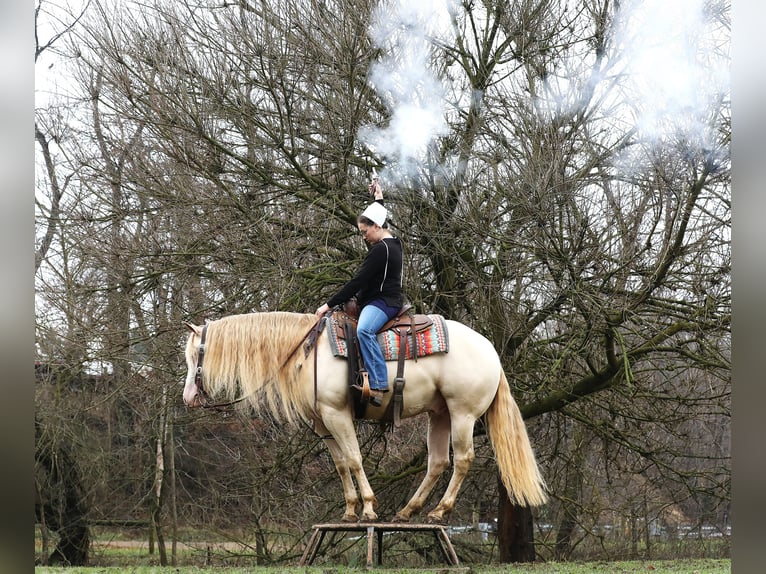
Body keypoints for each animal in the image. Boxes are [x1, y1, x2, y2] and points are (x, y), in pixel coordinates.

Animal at [183, 312, 548, 524]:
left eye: (196, 355)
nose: (187, 398)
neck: (307, 352)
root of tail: (491, 351)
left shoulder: (338, 414)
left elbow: (355, 459)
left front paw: (369, 508)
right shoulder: (323, 422)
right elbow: (341, 463)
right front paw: (349, 510)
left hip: (463, 414)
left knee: (463, 460)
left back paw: (438, 511)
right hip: (440, 414)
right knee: (438, 462)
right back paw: (408, 511)